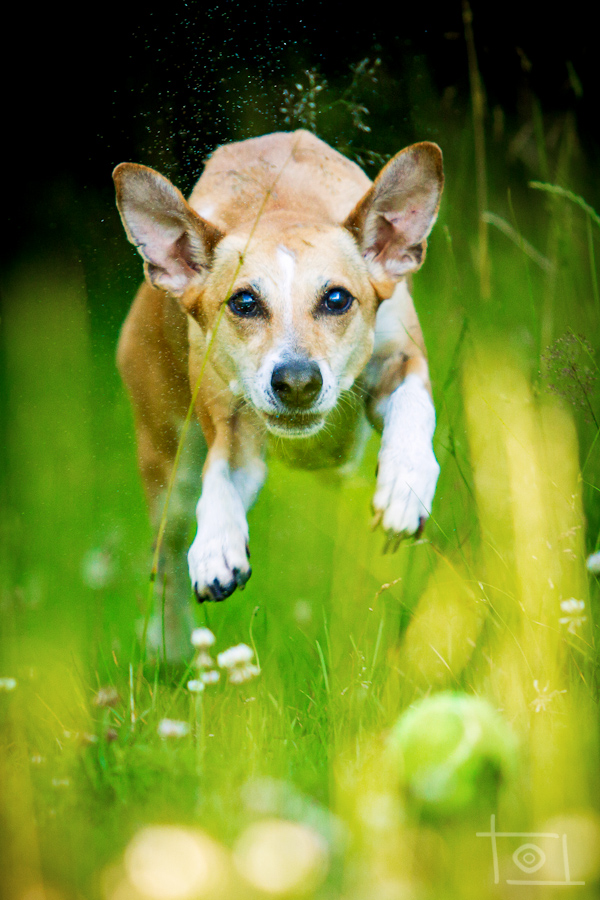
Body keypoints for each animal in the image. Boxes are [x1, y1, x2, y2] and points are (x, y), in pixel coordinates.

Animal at [113, 130, 440, 656]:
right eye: (244, 301)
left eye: (337, 298)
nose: (298, 381)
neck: (282, 203)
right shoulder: (229, 418)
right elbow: (221, 474)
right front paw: (217, 546)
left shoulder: (400, 354)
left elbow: (413, 403)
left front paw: (404, 486)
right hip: (165, 458)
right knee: (167, 556)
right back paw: (172, 652)